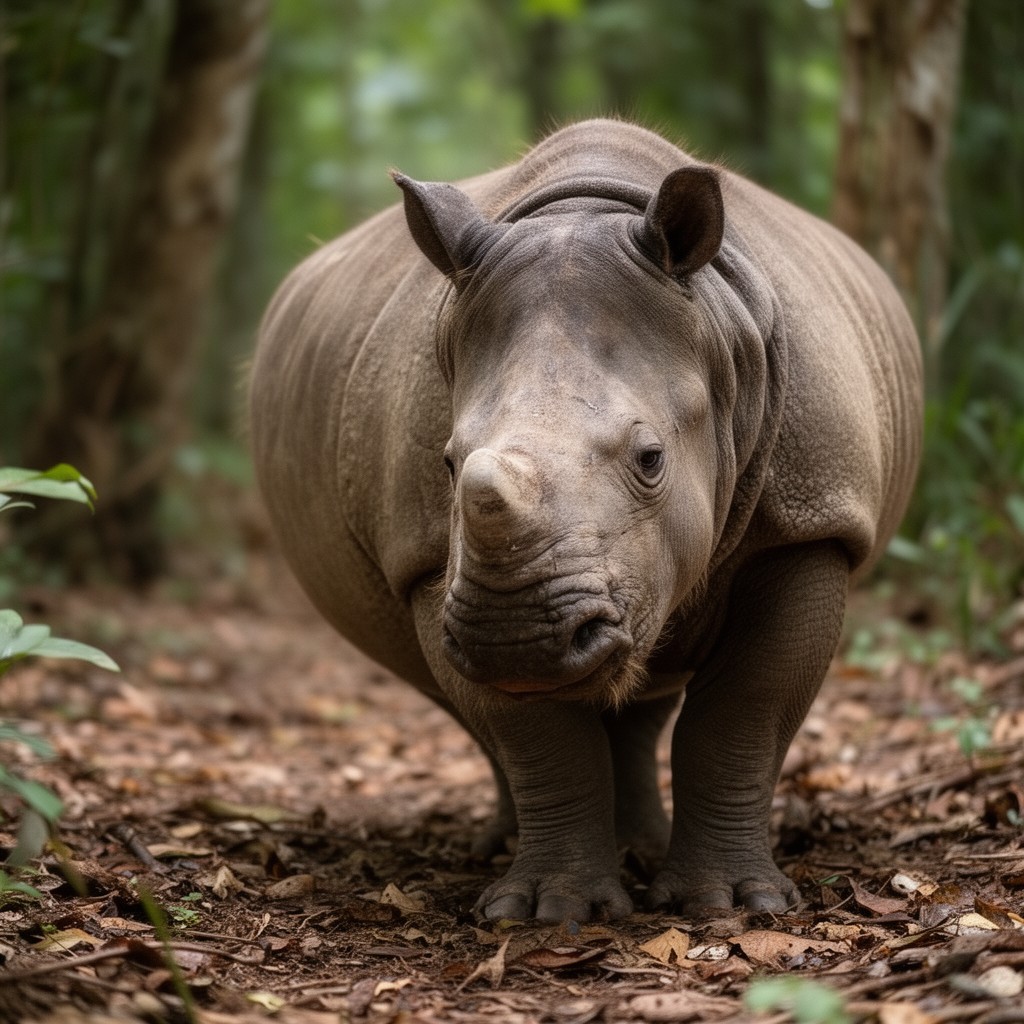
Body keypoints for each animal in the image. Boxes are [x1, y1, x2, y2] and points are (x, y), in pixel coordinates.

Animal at [250, 119, 922, 923]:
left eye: (651, 458)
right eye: (447, 464)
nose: (514, 635)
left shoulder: (812, 520)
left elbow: (745, 710)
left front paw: (733, 905)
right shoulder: (430, 560)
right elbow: (536, 737)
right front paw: (547, 912)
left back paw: (640, 849)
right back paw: (518, 848)